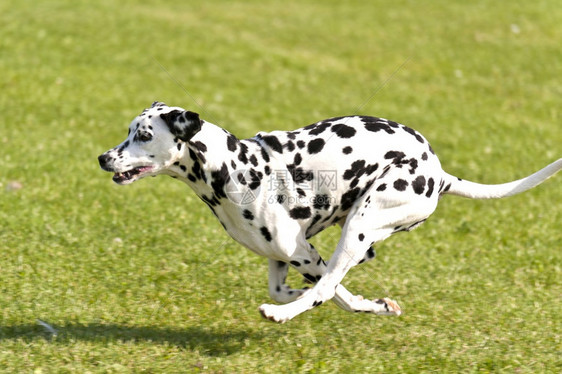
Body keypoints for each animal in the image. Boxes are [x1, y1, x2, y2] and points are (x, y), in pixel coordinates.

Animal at [98, 101, 556, 322]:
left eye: (143, 135)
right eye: (129, 131)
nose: (103, 158)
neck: (235, 168)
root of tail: (438, 172)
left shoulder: (304, 252)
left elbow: (331, 292)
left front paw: (360, 304)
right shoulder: (283, 256)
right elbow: (287, 287)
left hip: (359, 226)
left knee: (326, 287)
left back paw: (282, 316)